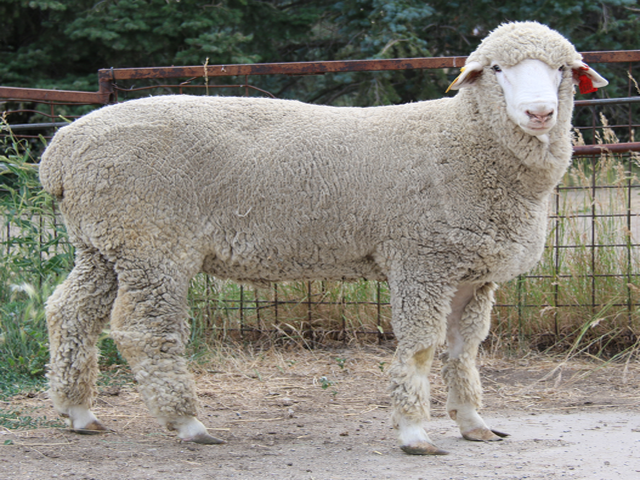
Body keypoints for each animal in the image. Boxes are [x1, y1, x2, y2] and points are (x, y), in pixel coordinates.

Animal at [39, 21, 607, 455]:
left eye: (562, 69)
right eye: (496, 69)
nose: (539, 113)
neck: (467, 142)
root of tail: (60, 151)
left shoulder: (473, 271)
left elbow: (464, 350)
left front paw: (473, 423)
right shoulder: (421, 260)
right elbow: (422, 349)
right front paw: (414, 432)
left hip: (102, 244)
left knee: (70, 313)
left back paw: (78, 411)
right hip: (151, 242)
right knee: (142, 331)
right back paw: (188, 424)